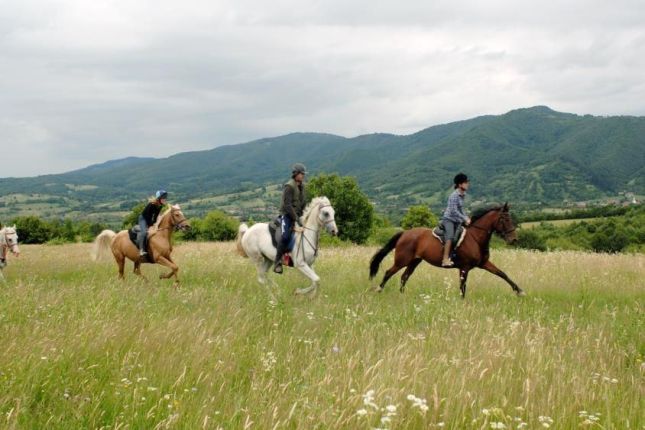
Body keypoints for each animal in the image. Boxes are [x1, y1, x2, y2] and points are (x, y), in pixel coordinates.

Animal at [368, 202, 524, 298]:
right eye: (505, 219)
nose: (514, 239)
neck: (475, 238)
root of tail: (404, 233)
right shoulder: (464, 267)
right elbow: (462, 287)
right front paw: (462, 302)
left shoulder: (484, 263)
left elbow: (502, 274)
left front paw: (519, 291)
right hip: (403, 260)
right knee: (389, 272)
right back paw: (379, 290)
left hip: (414, 261)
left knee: (404, 277)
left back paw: (402, 295)